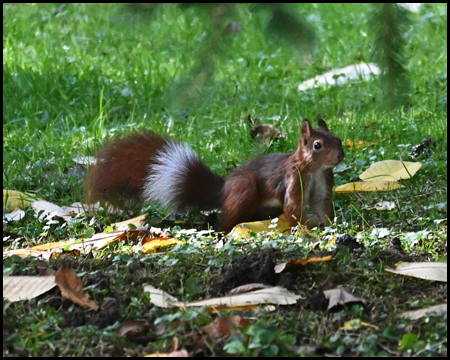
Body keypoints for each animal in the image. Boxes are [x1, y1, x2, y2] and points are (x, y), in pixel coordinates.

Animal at [85, 119, 344, 233]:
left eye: (339, 139)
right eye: (318, 145)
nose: (340, 155)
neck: (314, 170)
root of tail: (222, 192)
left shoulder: (323, 182)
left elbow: (322, 204)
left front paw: (331, 224)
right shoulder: (292, 179)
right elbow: (293, 207)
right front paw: (309, 226)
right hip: (244, 187)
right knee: (225, 222)